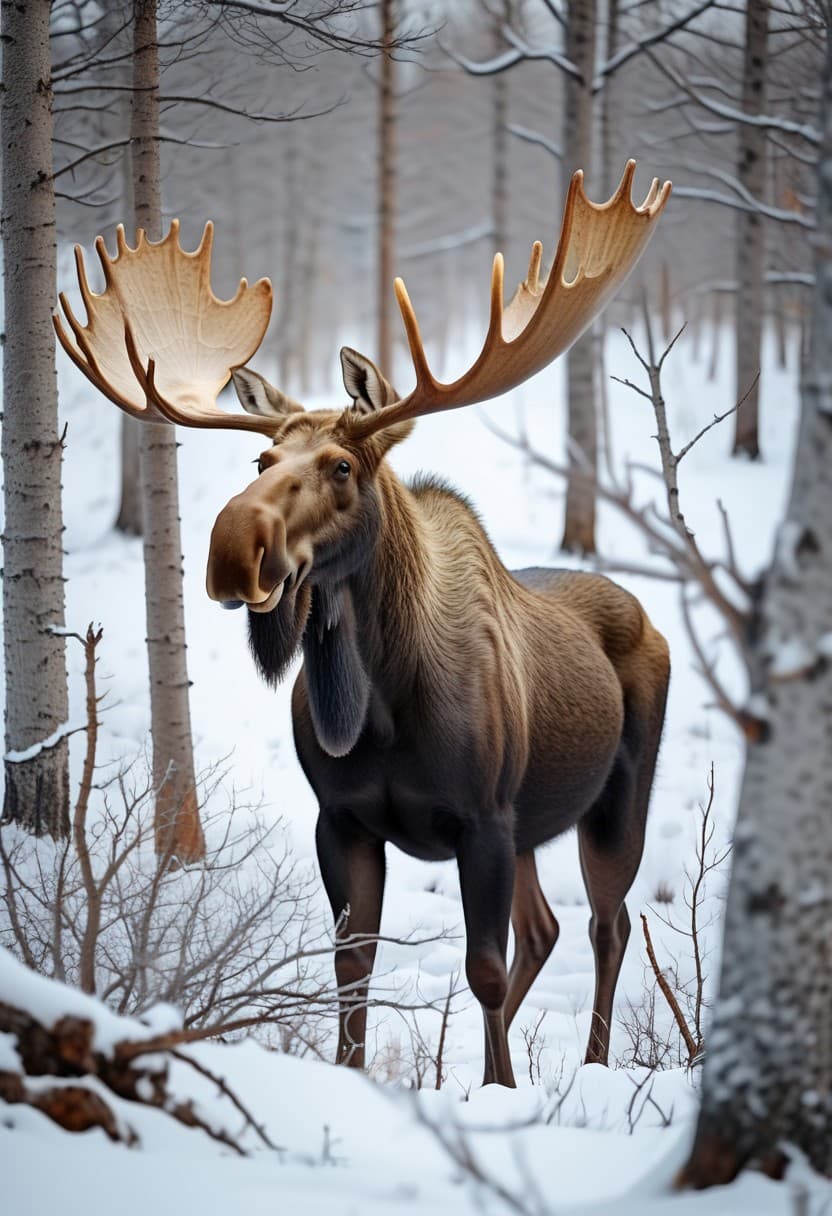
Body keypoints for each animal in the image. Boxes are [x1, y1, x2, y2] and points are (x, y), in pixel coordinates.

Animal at [55, 161, 671, 1087]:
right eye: (261, 457)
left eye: (343, 465)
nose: (233, 548)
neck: (377, 706)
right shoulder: (342, 819)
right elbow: (353, 963)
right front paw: (360, 1074)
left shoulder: (484, 820)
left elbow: (482, 969)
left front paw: (498, 1090)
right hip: (535, 821)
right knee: (548, 928)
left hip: (615, 796)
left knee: (607, 923)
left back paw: (595, 1065)